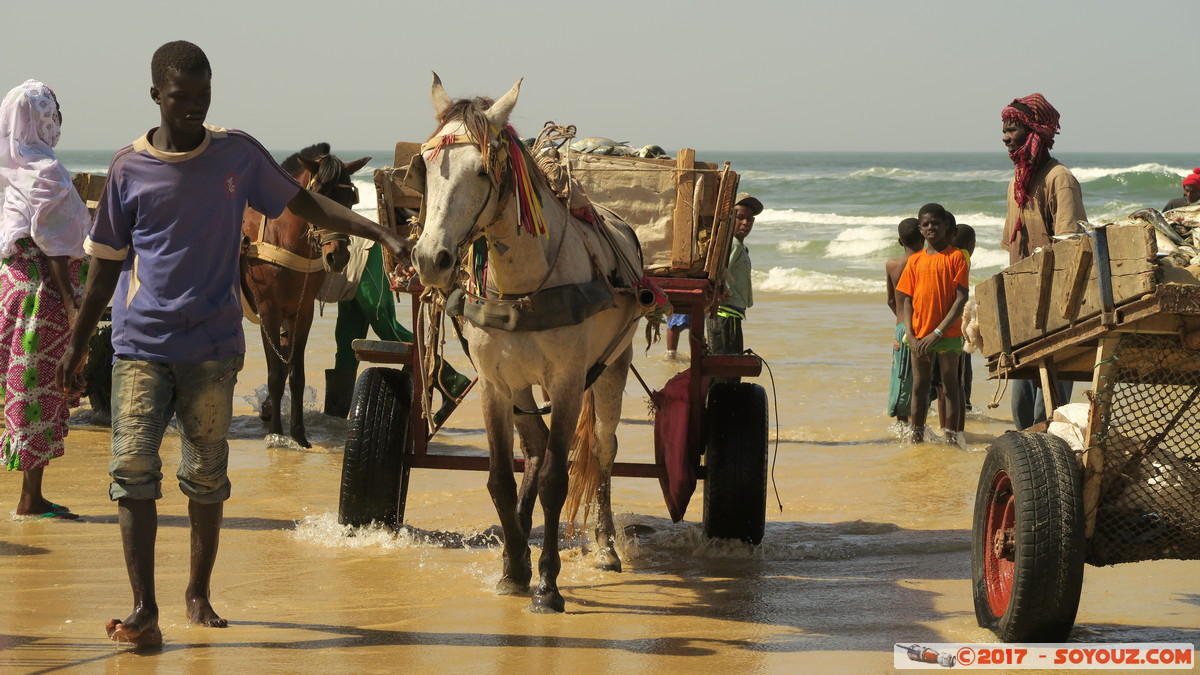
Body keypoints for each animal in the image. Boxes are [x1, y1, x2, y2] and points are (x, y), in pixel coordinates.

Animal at [242, 141, 369, 446]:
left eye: (350, 201)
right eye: (320, 199)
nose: (338, 256)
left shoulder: (303, 312)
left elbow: (295, 374)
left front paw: (299, 434)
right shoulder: (269, 311)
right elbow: (276, 374)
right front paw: (277, 432)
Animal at [410, 74, 643, 610]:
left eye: (482, 170)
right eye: (424, 167)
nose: (431, 259)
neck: (525, 284)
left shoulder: (567, 382)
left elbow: (559, 477)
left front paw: (548, 583)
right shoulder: (495, 385)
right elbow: (499, 477)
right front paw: (514, 567)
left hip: (611, 369)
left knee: (603, 449)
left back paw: (605, 547)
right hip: (521, 384)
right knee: (534, 447)